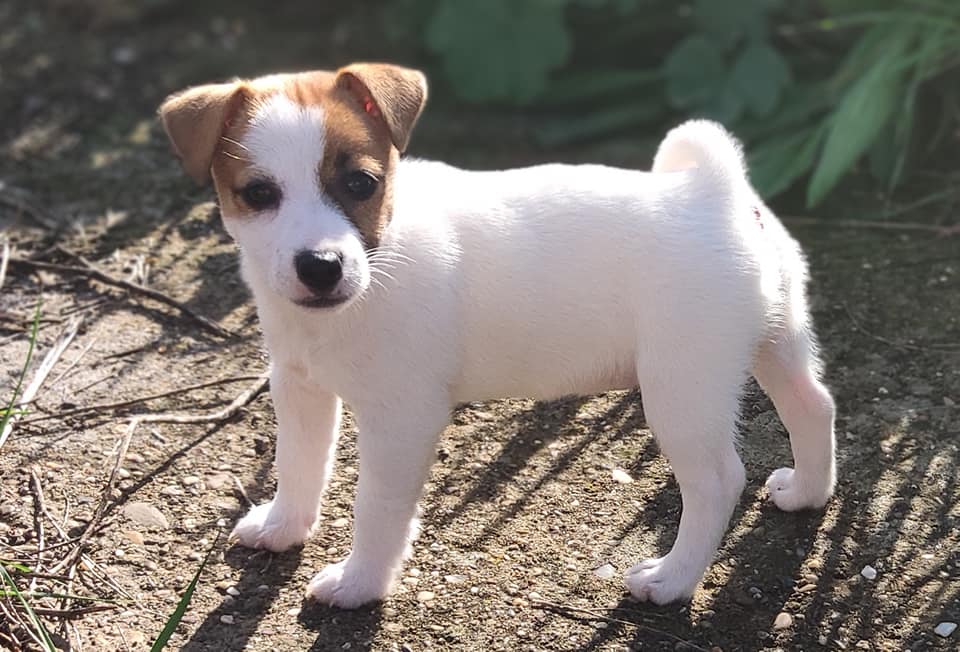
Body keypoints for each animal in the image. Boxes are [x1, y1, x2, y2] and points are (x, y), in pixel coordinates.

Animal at [161, 63, 836, 608]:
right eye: (257, 194)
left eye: (360, 184)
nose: (321, 267)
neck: (379, 263)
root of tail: (714, 193)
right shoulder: (300, 389)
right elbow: (298, 462)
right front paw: (284, 527)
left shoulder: (401, 419)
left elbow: (376, 508)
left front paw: (360, 584)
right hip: (776, 342)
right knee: (813, 405)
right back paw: (807, 491)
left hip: (682, 390)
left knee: (718, 480)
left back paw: (673, 580)